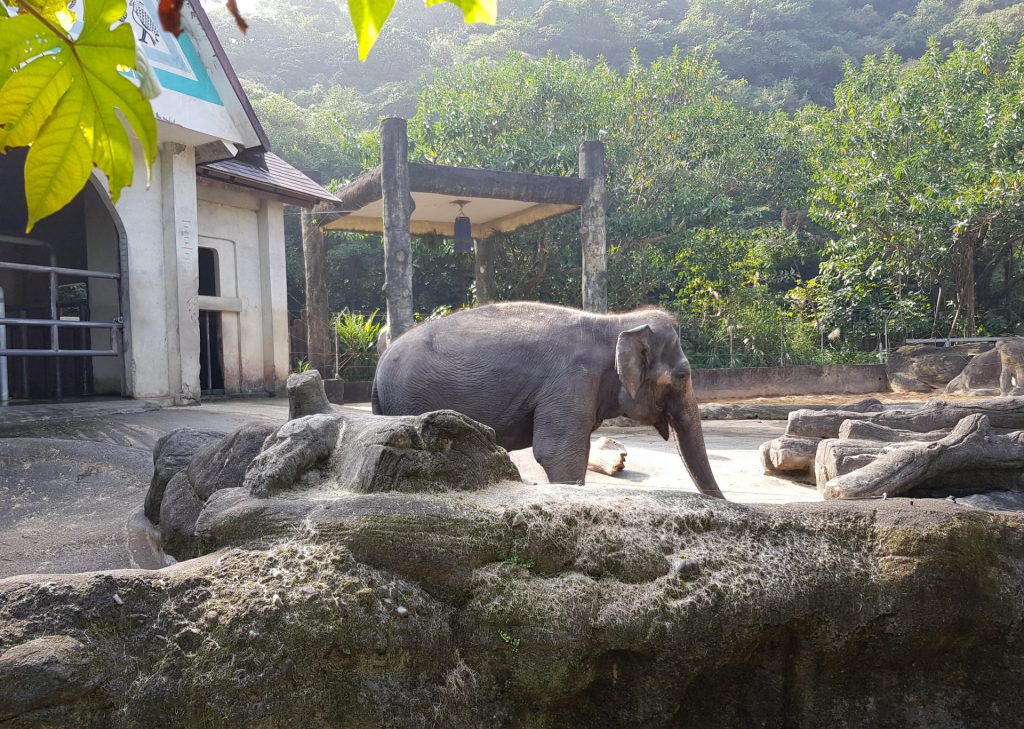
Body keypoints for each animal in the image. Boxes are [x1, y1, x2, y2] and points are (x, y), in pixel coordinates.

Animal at [372, 298, 724, 497]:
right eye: (683, 376)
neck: (615, 322)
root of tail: (379, 365)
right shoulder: (571, 381)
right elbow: (558, 454)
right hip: (411, 399)